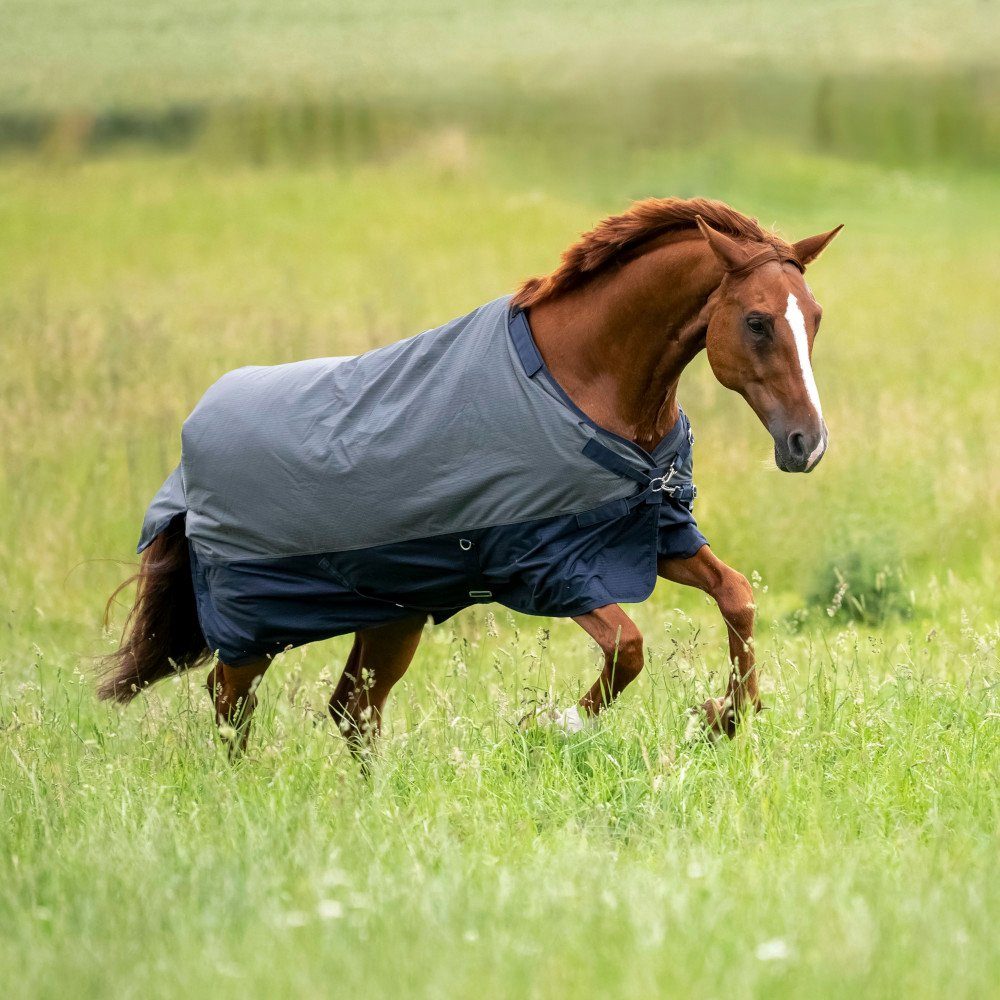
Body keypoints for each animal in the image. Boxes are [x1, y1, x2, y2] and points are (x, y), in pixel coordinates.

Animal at [99, 197, 840, 751]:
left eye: (815, 319)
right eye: (757, 322)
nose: (807, 444)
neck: (583, 383)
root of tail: (187, 463)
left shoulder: (652, 535)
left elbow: (738, 598)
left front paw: (726, 715)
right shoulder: (544, 566)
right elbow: (628, 647)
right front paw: (550, 723)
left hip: (390, 618)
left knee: (352, 711)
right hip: (255, 628)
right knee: (231, 704)